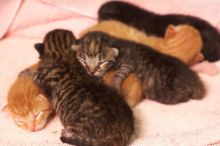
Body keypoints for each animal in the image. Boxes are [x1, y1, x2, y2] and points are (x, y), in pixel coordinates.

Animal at [74, 31, 206, 104]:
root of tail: (196, 83)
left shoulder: (128, 63)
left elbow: (118, 74)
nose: (91, 71)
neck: (116, 43)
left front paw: (115, 87)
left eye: (101, 62)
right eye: (84, 61)